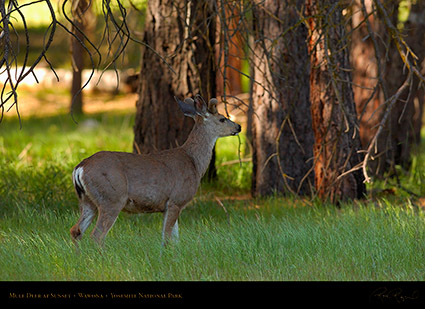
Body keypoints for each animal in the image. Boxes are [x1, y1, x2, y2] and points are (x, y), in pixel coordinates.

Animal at [71, 95, 240, 244]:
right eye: (222, 118)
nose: (238, 126)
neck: (194, 163)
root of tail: (80, 168)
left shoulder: (169, 205)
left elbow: (175, 239)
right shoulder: (176, 199)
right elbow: (167, 237)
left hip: (88, 200)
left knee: (76, 230)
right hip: (111, 197)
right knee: (97, 235)